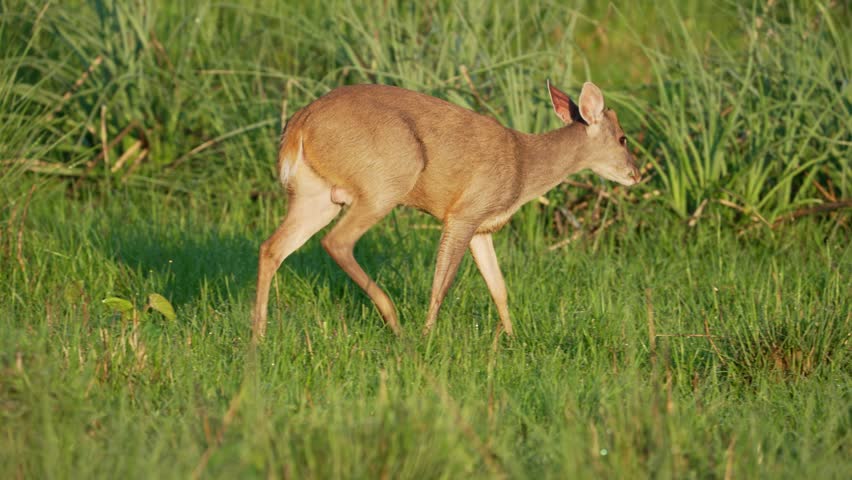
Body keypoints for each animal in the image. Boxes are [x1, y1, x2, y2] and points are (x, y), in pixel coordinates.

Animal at [252, 80, 640, 340]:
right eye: (623, 138)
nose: (637, 174)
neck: (524, 165)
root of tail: (299, 124)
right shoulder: (463, 212)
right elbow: (443, 282)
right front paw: (428, 337)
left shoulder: (482, 227)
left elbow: (499, 287)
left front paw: (512, 339)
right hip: (385, 180)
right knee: (337, 242)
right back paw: (396, 324)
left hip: (317, 195)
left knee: (271, 247)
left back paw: (258, 335)